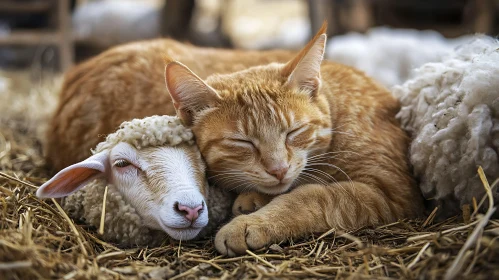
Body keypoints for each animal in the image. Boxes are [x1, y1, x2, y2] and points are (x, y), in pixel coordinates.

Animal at [165, 23, 426, 258]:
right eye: (243, 142)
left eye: (293, 132)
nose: (278, 169)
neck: (338, 117)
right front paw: (256, 197)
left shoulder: (390, 189)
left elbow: (312, 197)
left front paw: (252, 223)